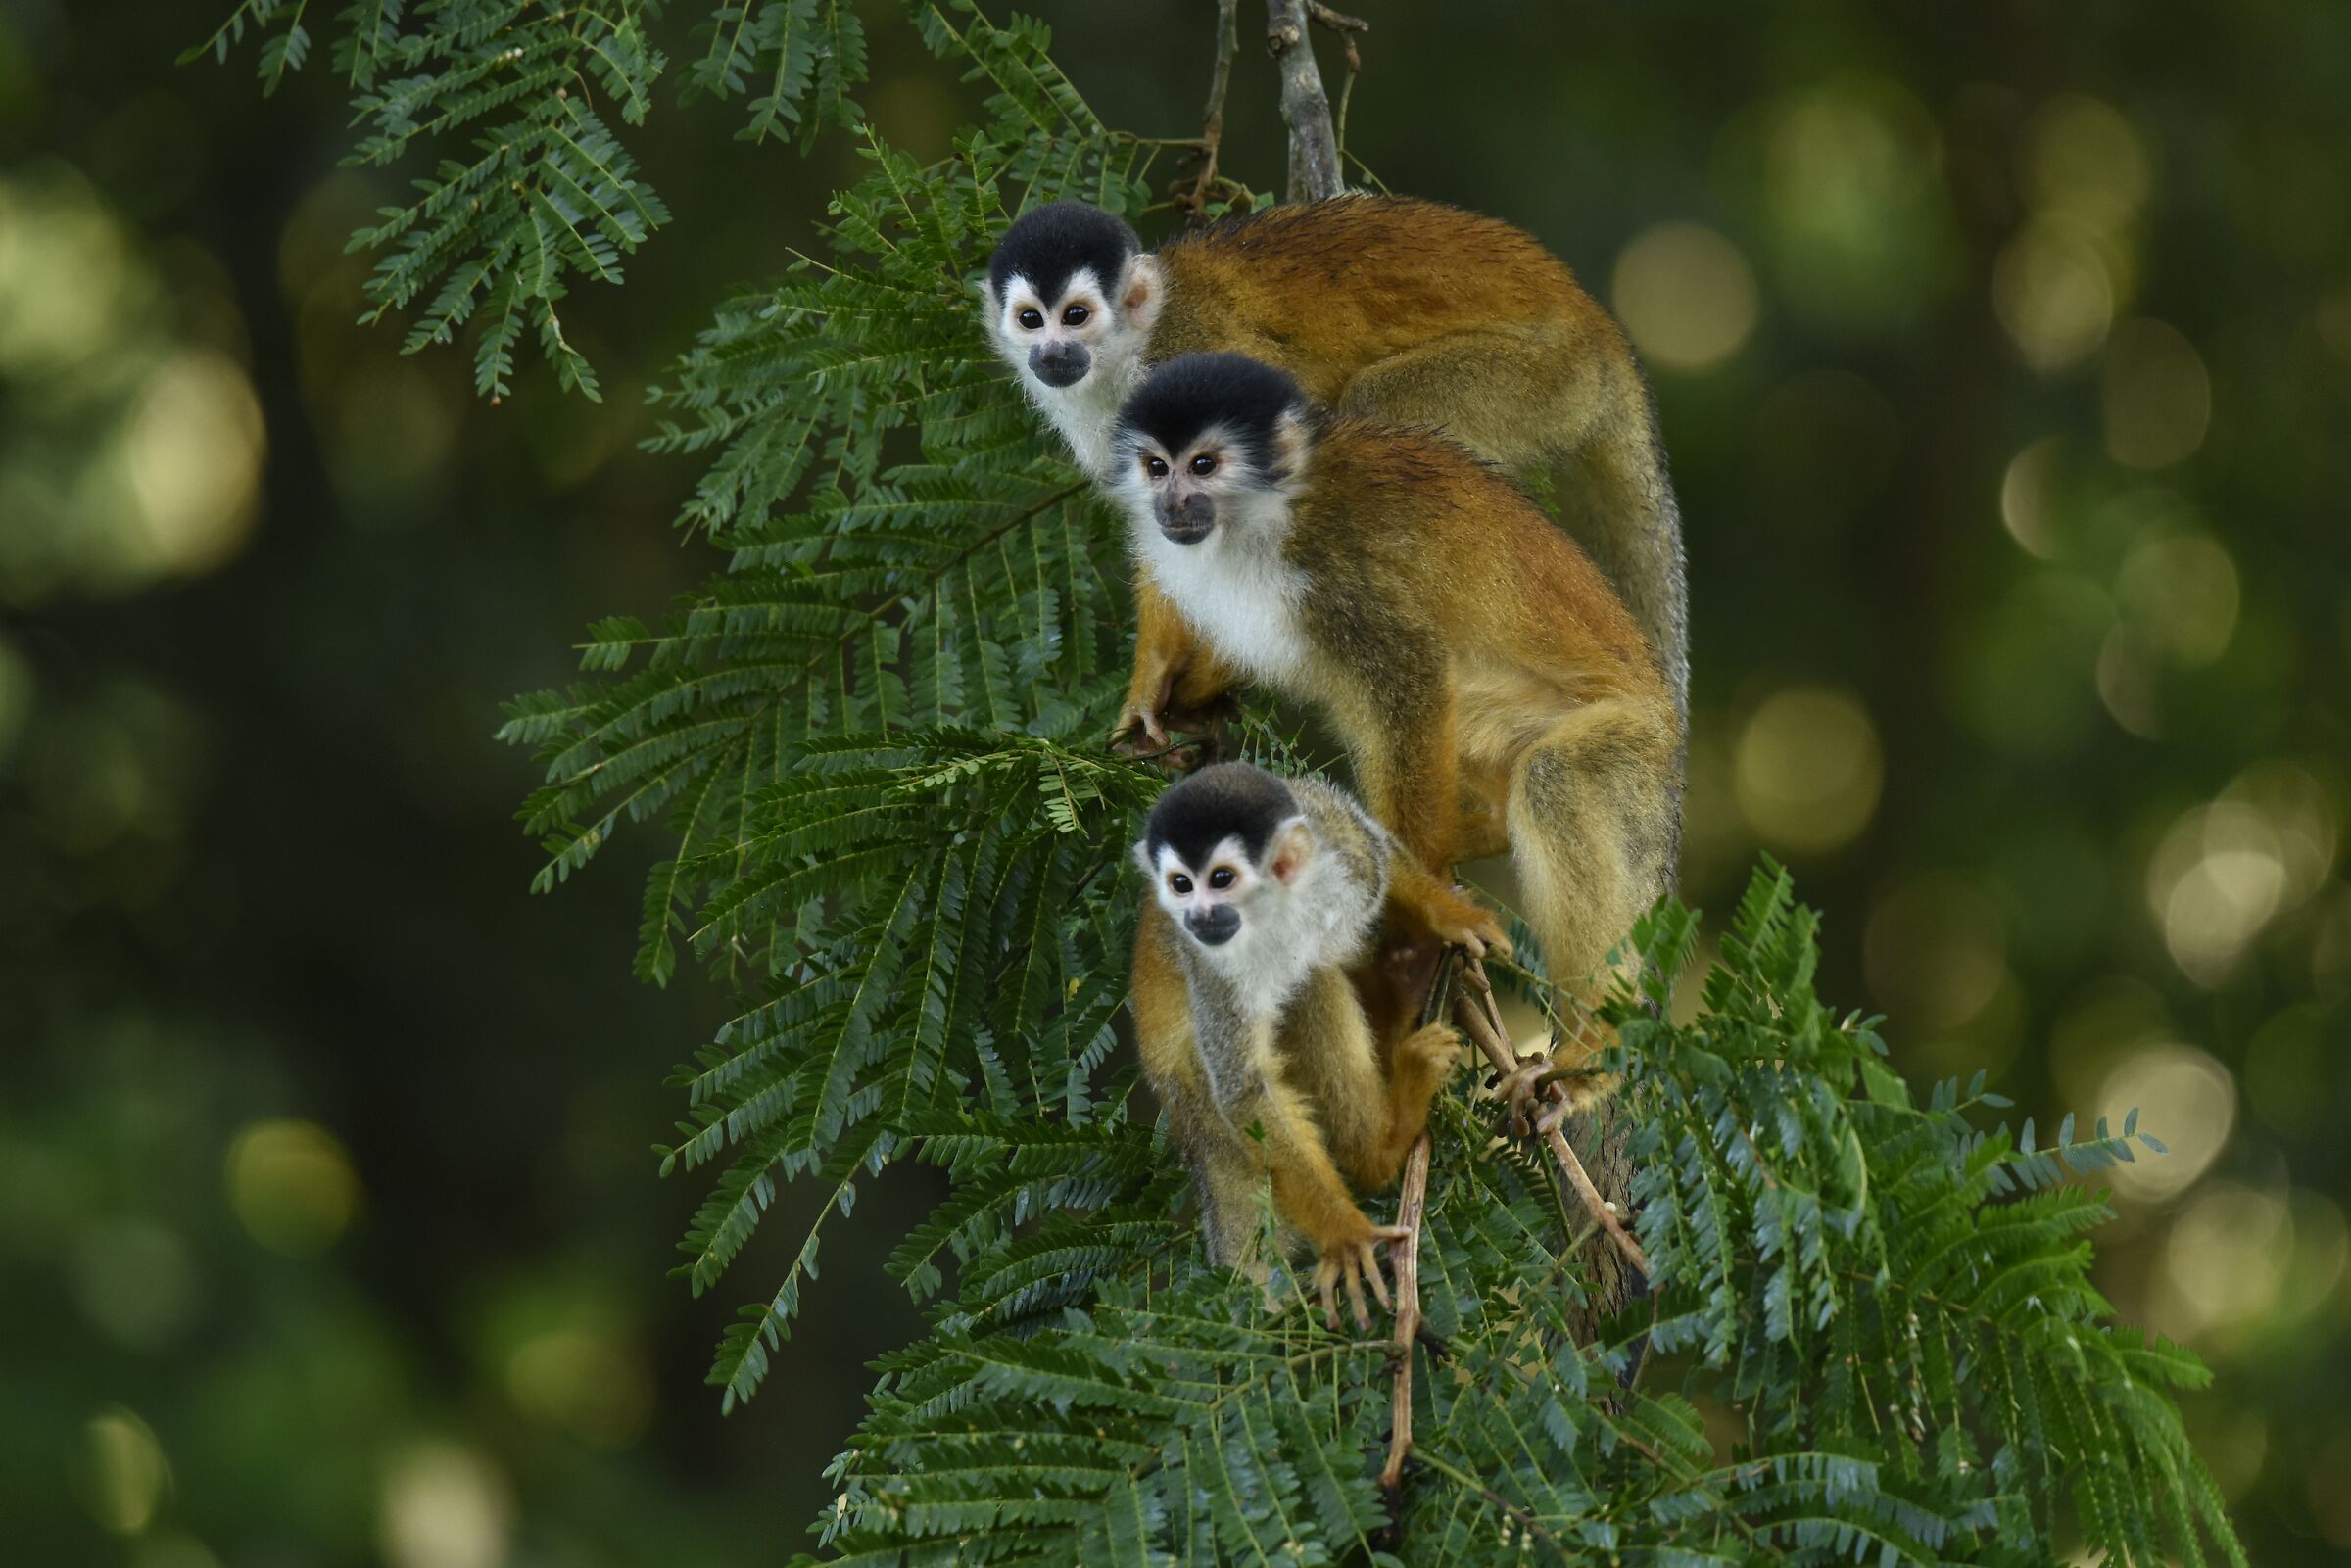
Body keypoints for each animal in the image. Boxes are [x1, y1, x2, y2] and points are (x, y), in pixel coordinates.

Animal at [982, 195, 1688, 735]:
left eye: (1076, 315)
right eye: (1031, 319)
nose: (1051, 352)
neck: (1127, 352)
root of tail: (1599, 327)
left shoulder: (1193, 353)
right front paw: (1149, 681)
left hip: (1544, 374)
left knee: (1379, 412)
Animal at [1109, 352, 1683, 1081]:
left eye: (1204, 465)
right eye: (1157, 466)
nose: (1171, 502)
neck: (1262, 518)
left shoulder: (1328, 569)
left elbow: (1409, 677)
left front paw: (1425, 910)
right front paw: (1159, 695)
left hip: (1637, 746)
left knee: (1554, 774)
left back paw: (1593, 1043)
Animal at [1129, 761, 1501, 1328]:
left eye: (1220, 879)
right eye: (1181, 885)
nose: (1197, 917)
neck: (1277, 911)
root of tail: (1188, 1126)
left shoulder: (1335, 843)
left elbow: (1380, 855)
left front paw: (1453, 916)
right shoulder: (1209, 962)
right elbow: (1246, 1090)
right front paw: (1345, 1237)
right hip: (1198, 1092)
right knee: (1309, 983)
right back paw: (1381, 1150)